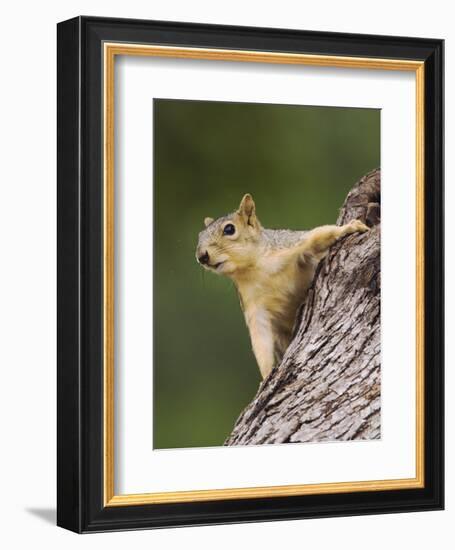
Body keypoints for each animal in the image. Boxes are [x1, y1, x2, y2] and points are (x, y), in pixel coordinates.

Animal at [197, 196, 370, 382]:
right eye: (199, 236)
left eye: (229, 229)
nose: (201, 256)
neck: (255, 268)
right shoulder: (253, 306)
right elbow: (260, 339)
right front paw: (266, 375)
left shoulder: (291, 246)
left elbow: (319, 235)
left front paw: (351, 227)